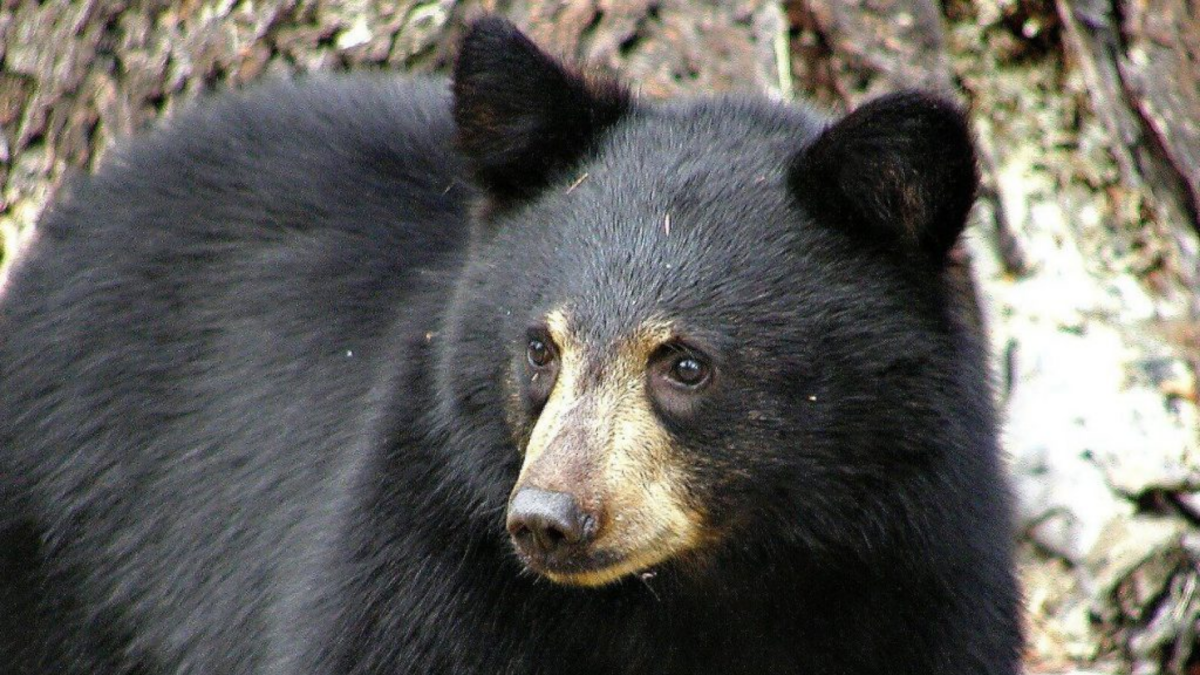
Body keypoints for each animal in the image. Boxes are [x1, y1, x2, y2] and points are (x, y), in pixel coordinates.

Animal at [0, 15, 1022, 675]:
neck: (699, 589)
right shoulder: (425, 563)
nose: (547, 519)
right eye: (541, 347)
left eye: (686, 363)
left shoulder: (920, 579)